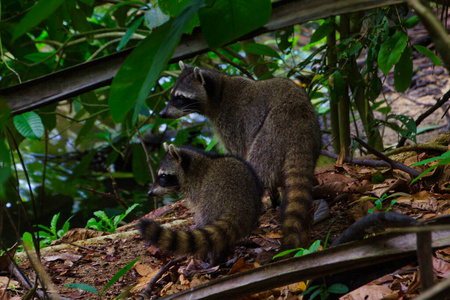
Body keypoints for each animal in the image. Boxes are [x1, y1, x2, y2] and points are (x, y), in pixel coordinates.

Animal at [160, 62, 322, 250]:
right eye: (173, 95)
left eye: (180, 97)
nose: (162, 114)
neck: (220, 91)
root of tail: (299, 127)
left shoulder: (232, 122)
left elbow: (239, 154)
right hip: (313, 135)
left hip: (270, 135)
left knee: (257, 165)